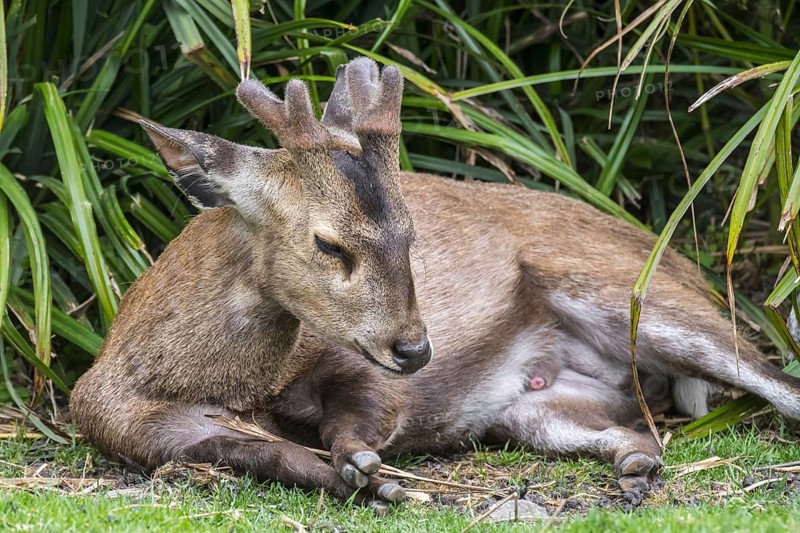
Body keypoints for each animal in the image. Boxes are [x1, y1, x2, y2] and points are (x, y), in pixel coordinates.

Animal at [71, 57, 800, 508]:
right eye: (328, 242)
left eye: (412, 232)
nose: (418, 349)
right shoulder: (148, 432)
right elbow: (279, 458)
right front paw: (367, 481)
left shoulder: (362, 372)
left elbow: (357, 419)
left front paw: (374, 472)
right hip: (536, 411)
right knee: (636, 432)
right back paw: (636, 473)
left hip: (637, 297)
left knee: (777, 382)